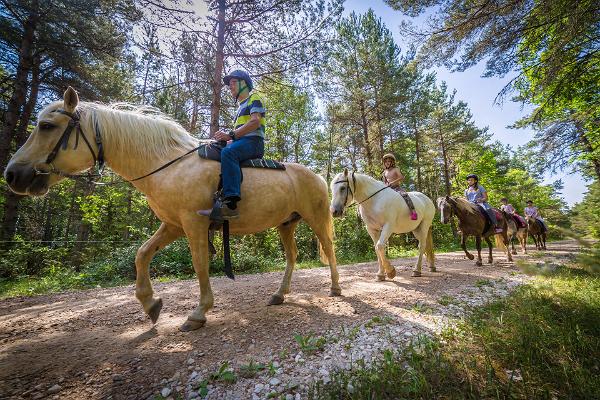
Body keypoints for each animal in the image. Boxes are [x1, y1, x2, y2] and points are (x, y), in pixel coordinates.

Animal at [3, 87, 342, 332]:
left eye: (47, 126)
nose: (12, 174)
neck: (168, 165)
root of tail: (315, 175)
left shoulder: (194, 224)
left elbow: (200, 264)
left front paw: (198, 313)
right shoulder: (173, 225)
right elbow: (142, 254)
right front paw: (150, 304)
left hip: (315, 218)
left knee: (329, 248)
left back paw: (336, 288)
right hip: (286, 223)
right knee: (292, 257)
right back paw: (279, 294)